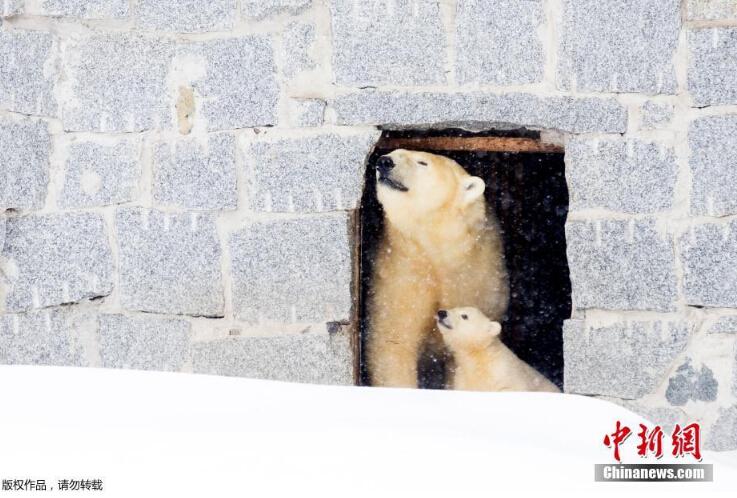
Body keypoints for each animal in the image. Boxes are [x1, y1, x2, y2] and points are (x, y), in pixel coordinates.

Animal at [366, 149, 509, 388]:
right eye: (394, 151)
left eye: (422, 162)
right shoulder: (401, 273)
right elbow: (394, 342)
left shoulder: (477, 279)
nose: (384, 161)